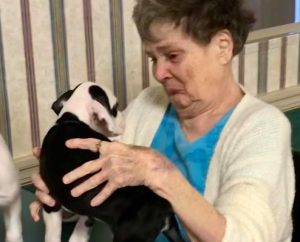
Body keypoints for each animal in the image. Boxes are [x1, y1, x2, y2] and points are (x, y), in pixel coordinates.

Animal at [40, 82, 184, 242]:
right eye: (115, 108)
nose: (123, 119)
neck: (71, 118)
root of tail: (162, 206)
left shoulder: (51, 201)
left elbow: (53, 235)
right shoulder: (79, 209)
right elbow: (77, 234)